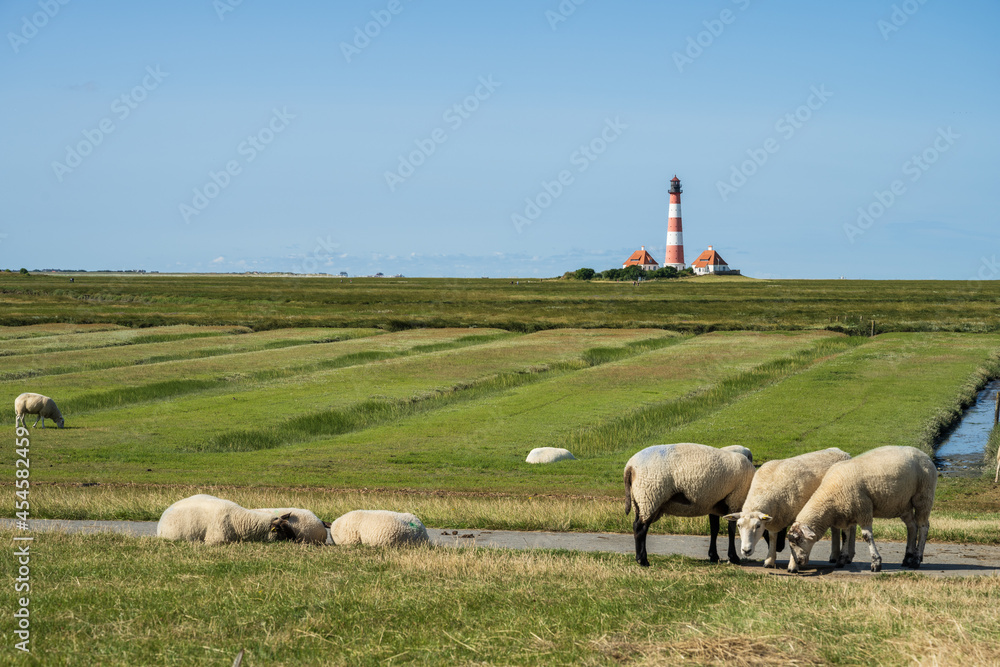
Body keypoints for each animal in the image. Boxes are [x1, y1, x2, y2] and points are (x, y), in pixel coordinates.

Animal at [624, 443, 755, 567]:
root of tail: (630, 466)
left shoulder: (713, 503)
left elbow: (714, 529)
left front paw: (714, 556)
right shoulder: (735, 499)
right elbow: (731, 529)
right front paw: (733, 557)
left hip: (640, 501)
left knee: (637, 525)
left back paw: (640, 559)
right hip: (650, 497)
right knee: (640, 528)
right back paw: (643, 560)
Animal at [724, 447, 852, 570]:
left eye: (758, 526)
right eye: (739, 525)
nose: (746, 551)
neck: (766, 490)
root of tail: (843, 452)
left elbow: (794, 540)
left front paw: (793, 566)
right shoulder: (775, 520)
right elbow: (772, 537)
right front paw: (769, 561)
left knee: (849, 529)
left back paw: (847, 557)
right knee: (835, 529)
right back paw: (834, 556)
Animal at [787, 446, 937, 573]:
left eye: (797, 540)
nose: (798, 562)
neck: (830, 498)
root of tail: (925, 455)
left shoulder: (863, 509)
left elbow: (867, 536)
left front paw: (876, 563)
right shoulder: (846, 513)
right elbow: (845, 535)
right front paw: (841, 559)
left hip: (923, 496)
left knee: (923, 526)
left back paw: (916, 560)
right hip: (903, 503)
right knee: (912, 526)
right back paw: (907, 558)